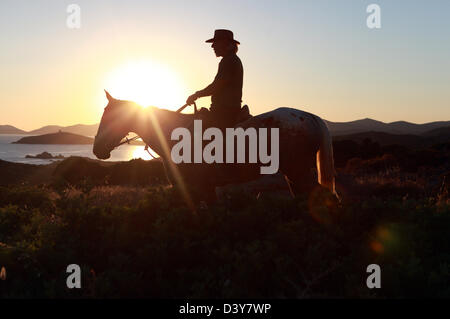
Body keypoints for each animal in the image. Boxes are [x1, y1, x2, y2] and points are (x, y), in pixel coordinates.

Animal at [93, 91, 336, 209]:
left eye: (110, 116)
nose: (97, 150)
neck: (172, 134)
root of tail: (311, 117)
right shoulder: (205, 189)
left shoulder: (194, 188)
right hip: (294, 174)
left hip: (298, 171)